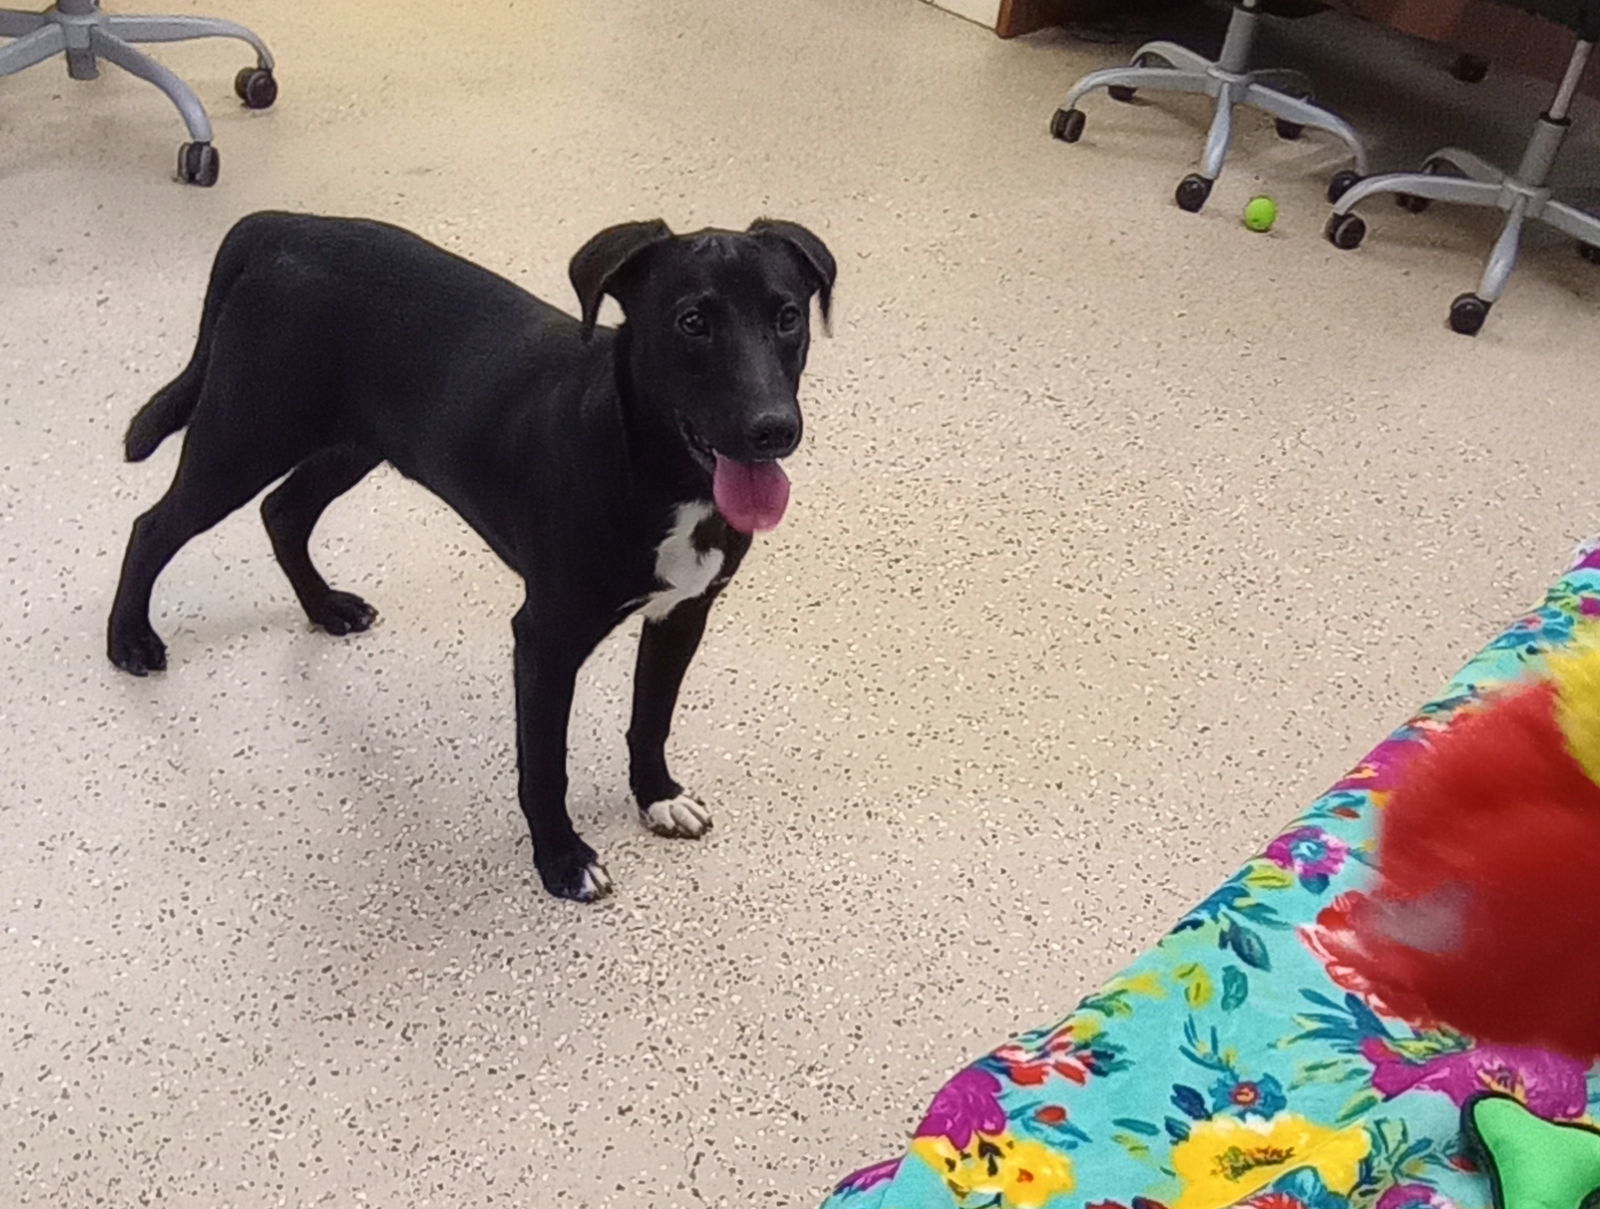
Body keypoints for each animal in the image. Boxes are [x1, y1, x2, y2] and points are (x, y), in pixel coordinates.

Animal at [109, 212, 838, 901]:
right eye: (692, 322)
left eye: (787, 316)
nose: (773, 429)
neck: (652, 468)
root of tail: (283, 225)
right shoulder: (545, 639)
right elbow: (544, 765)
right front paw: (562, 861)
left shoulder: (684, 612)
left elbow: (650, 718)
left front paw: (657, 795)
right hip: (245, 435)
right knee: (153, 526)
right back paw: (129, 641)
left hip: (356, 440)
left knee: (283, 510)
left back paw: (324, 607)